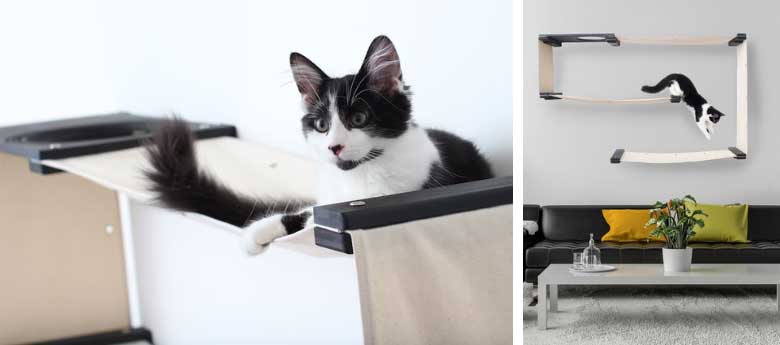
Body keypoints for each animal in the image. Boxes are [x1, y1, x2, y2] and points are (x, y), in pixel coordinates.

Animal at [146, 36, 494, 254]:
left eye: (359, 118)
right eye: (322, 125)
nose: (334, 147)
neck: (359, 178)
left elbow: (317, 222)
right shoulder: (325, 199)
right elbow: (306, 214)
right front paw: (256, 232)